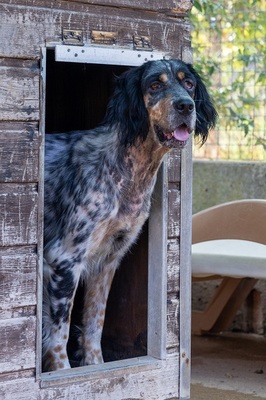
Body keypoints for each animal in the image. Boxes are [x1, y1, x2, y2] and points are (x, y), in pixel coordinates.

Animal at [41, 59, 216, 372]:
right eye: (155, 85)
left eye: (189, 84)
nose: (185, 106)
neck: (126, 170)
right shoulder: (64, 259)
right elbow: (58, 338)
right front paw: (62, 375)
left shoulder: (107, 260)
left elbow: (94, 326)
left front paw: (95, 368)